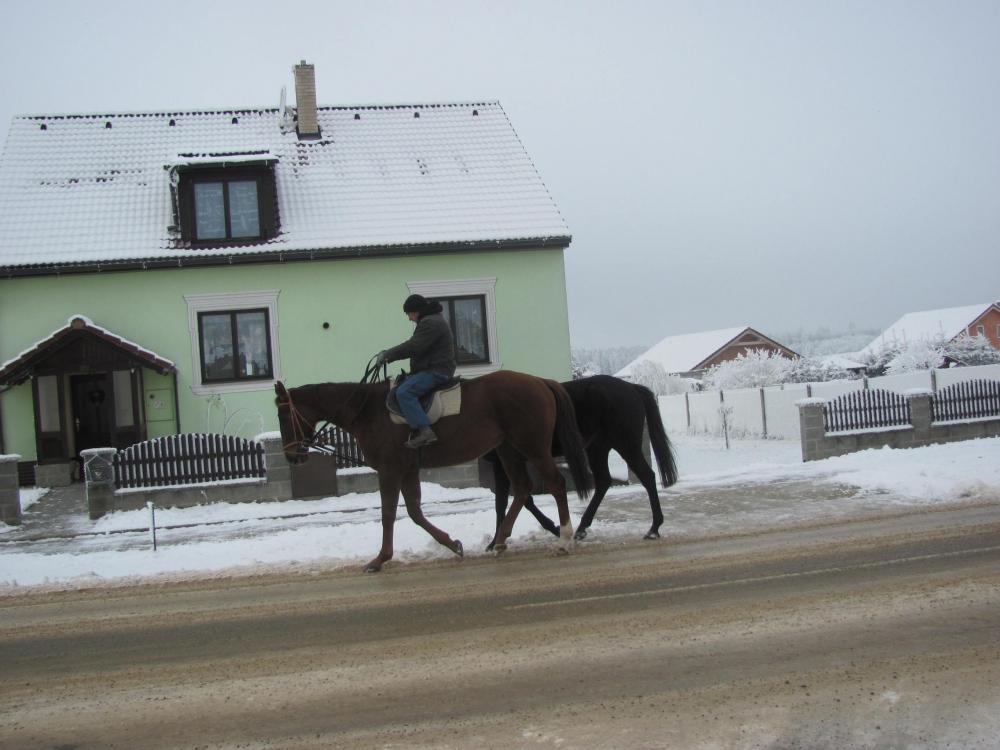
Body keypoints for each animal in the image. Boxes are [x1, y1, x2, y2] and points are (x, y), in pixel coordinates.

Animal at [274, 370, 593, 572]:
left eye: (284, 414)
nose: (291, 455)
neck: (367, 411)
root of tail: (540, 381)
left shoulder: (389, 470)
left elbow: (388, 514)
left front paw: (380, 559)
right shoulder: (407, 470)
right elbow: (415, 512)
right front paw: (452, 544)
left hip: (532, 447)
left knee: (555, 483)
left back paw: (564, 539)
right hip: (508, 449)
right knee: (523, 488)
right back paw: (501, 540)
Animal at [485, 374, 678, 548]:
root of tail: (631, 387)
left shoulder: (503, 464)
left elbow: (504, 502)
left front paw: (495, 542)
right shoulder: (505, 465)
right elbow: (521, 499)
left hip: (626, 446)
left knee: (647, 477)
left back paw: (653, 529)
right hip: (597, 448)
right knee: (603, 482)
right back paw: (582, 528)